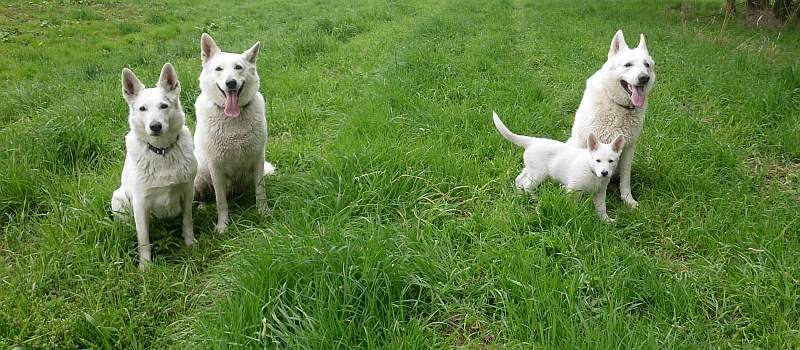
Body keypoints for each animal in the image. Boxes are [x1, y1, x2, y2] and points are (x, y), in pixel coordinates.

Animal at [194, 31, 276, 231]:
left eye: (238, 67)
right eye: (219, 69)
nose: (230, 83)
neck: (232, 118)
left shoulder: (258, 159)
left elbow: (260, 192)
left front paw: (264, 213)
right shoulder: (216, 167)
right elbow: (221, 202)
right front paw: (222, 226)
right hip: (199, 174)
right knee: (205, 197)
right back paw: (202, 207)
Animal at [494, 112, 624, 221]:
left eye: (611, 161)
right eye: (598, 160)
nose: (604, 173)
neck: (591, 170)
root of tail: (533, 141)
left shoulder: (600, 192)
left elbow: (601, 208)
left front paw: (606, 220)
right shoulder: (573, 189)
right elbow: (572, 205)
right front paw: (574, 215)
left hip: (530, 169)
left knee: (519, 179)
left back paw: (519, 195)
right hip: (539, 174)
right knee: (527, 185)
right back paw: (534, 198)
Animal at [564, 29, 656, 208]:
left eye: (647, 65)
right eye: (628, 65)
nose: (644, 78)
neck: (618, 106)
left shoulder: (628, 149)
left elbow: (625, 180)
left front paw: (628, 200)